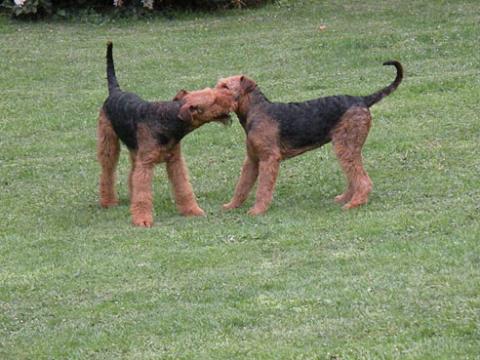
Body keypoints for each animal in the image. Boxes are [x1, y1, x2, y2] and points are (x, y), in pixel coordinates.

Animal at [97, 42, 236, 226]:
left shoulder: (175, 161)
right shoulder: (146, 164)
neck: (167, 119)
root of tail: (115, 91)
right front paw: (142, 220)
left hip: (135, 152)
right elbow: (143, 194)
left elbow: (183, 188)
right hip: (108, 144)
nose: (234, 96)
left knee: (131, 174)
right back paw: (108, 202)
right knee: (107, 173)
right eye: (213, 100)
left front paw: (193, 211)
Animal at [216, 60, 404, 215]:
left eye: (225, 87)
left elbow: (263, 188)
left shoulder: (269, 158)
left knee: (362, 180)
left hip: (345, 146)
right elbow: (242, 186)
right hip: (349, 148)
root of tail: (362, 99)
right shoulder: (252, 159)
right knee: (355, 177)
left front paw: (257, 211)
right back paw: (345, 198)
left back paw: (354, 203)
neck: (256, 111)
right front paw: (230, 206)